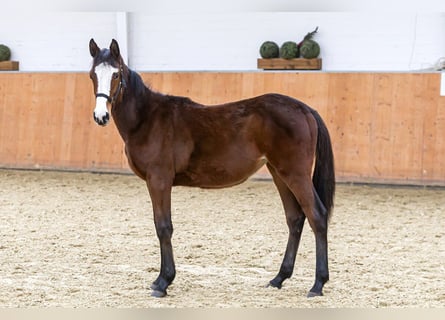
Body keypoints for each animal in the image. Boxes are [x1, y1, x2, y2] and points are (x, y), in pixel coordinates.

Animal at [89, 38, 332, 298]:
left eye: (115, 75)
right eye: (93, 74)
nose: (101, 116)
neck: (147, 119)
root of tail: (306, 110)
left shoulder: (159, 180)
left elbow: (163, 227)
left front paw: (163, 282)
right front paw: (160, 280)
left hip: (296, 174)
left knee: (317, 216)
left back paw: (318, 284)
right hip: (279, 174)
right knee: (295, 219)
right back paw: (279, 278)